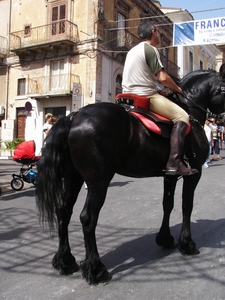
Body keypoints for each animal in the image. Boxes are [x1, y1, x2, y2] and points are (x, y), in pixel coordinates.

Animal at [36, 63, 225, 284]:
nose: (221, 119)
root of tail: (74, 116)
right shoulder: (194, 173)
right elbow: (187, 206)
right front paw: (187, 244)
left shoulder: (169, 175)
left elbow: (167, 205)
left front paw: (165, 238)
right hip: (98, 182)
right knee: (88, 218)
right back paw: (96, 269)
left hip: (73, 178)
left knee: (63, 211)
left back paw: (65, 261)